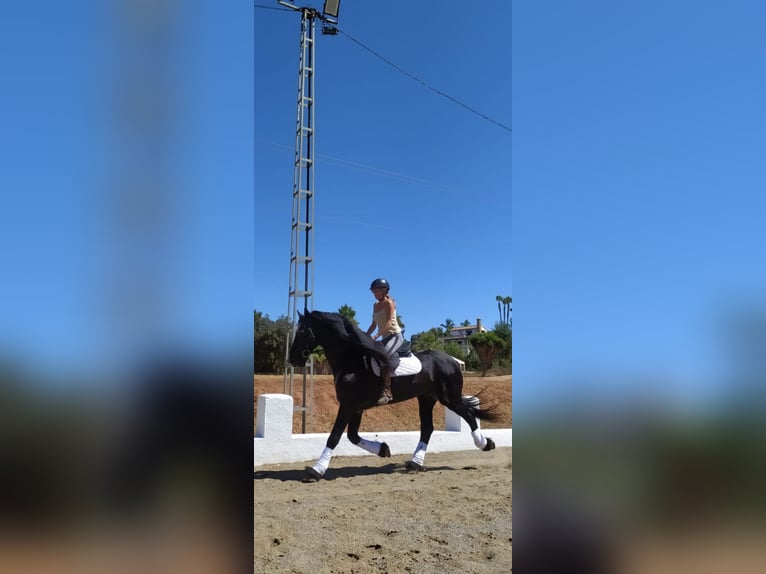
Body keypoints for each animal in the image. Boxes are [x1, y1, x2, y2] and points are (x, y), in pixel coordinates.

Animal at [287, 309, 499, 482]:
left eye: (302, 331)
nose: (292, 359)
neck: (352, 361)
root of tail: (453, 360)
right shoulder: (356, 407)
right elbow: (352, 436)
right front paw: (383, 449)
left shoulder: (348, 404)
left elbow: (335, 436)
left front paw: (316, 470)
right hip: (427, 398)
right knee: (427, 428)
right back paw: (415, 462)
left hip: (449, 398)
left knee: (468, 415)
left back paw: (484, 443)